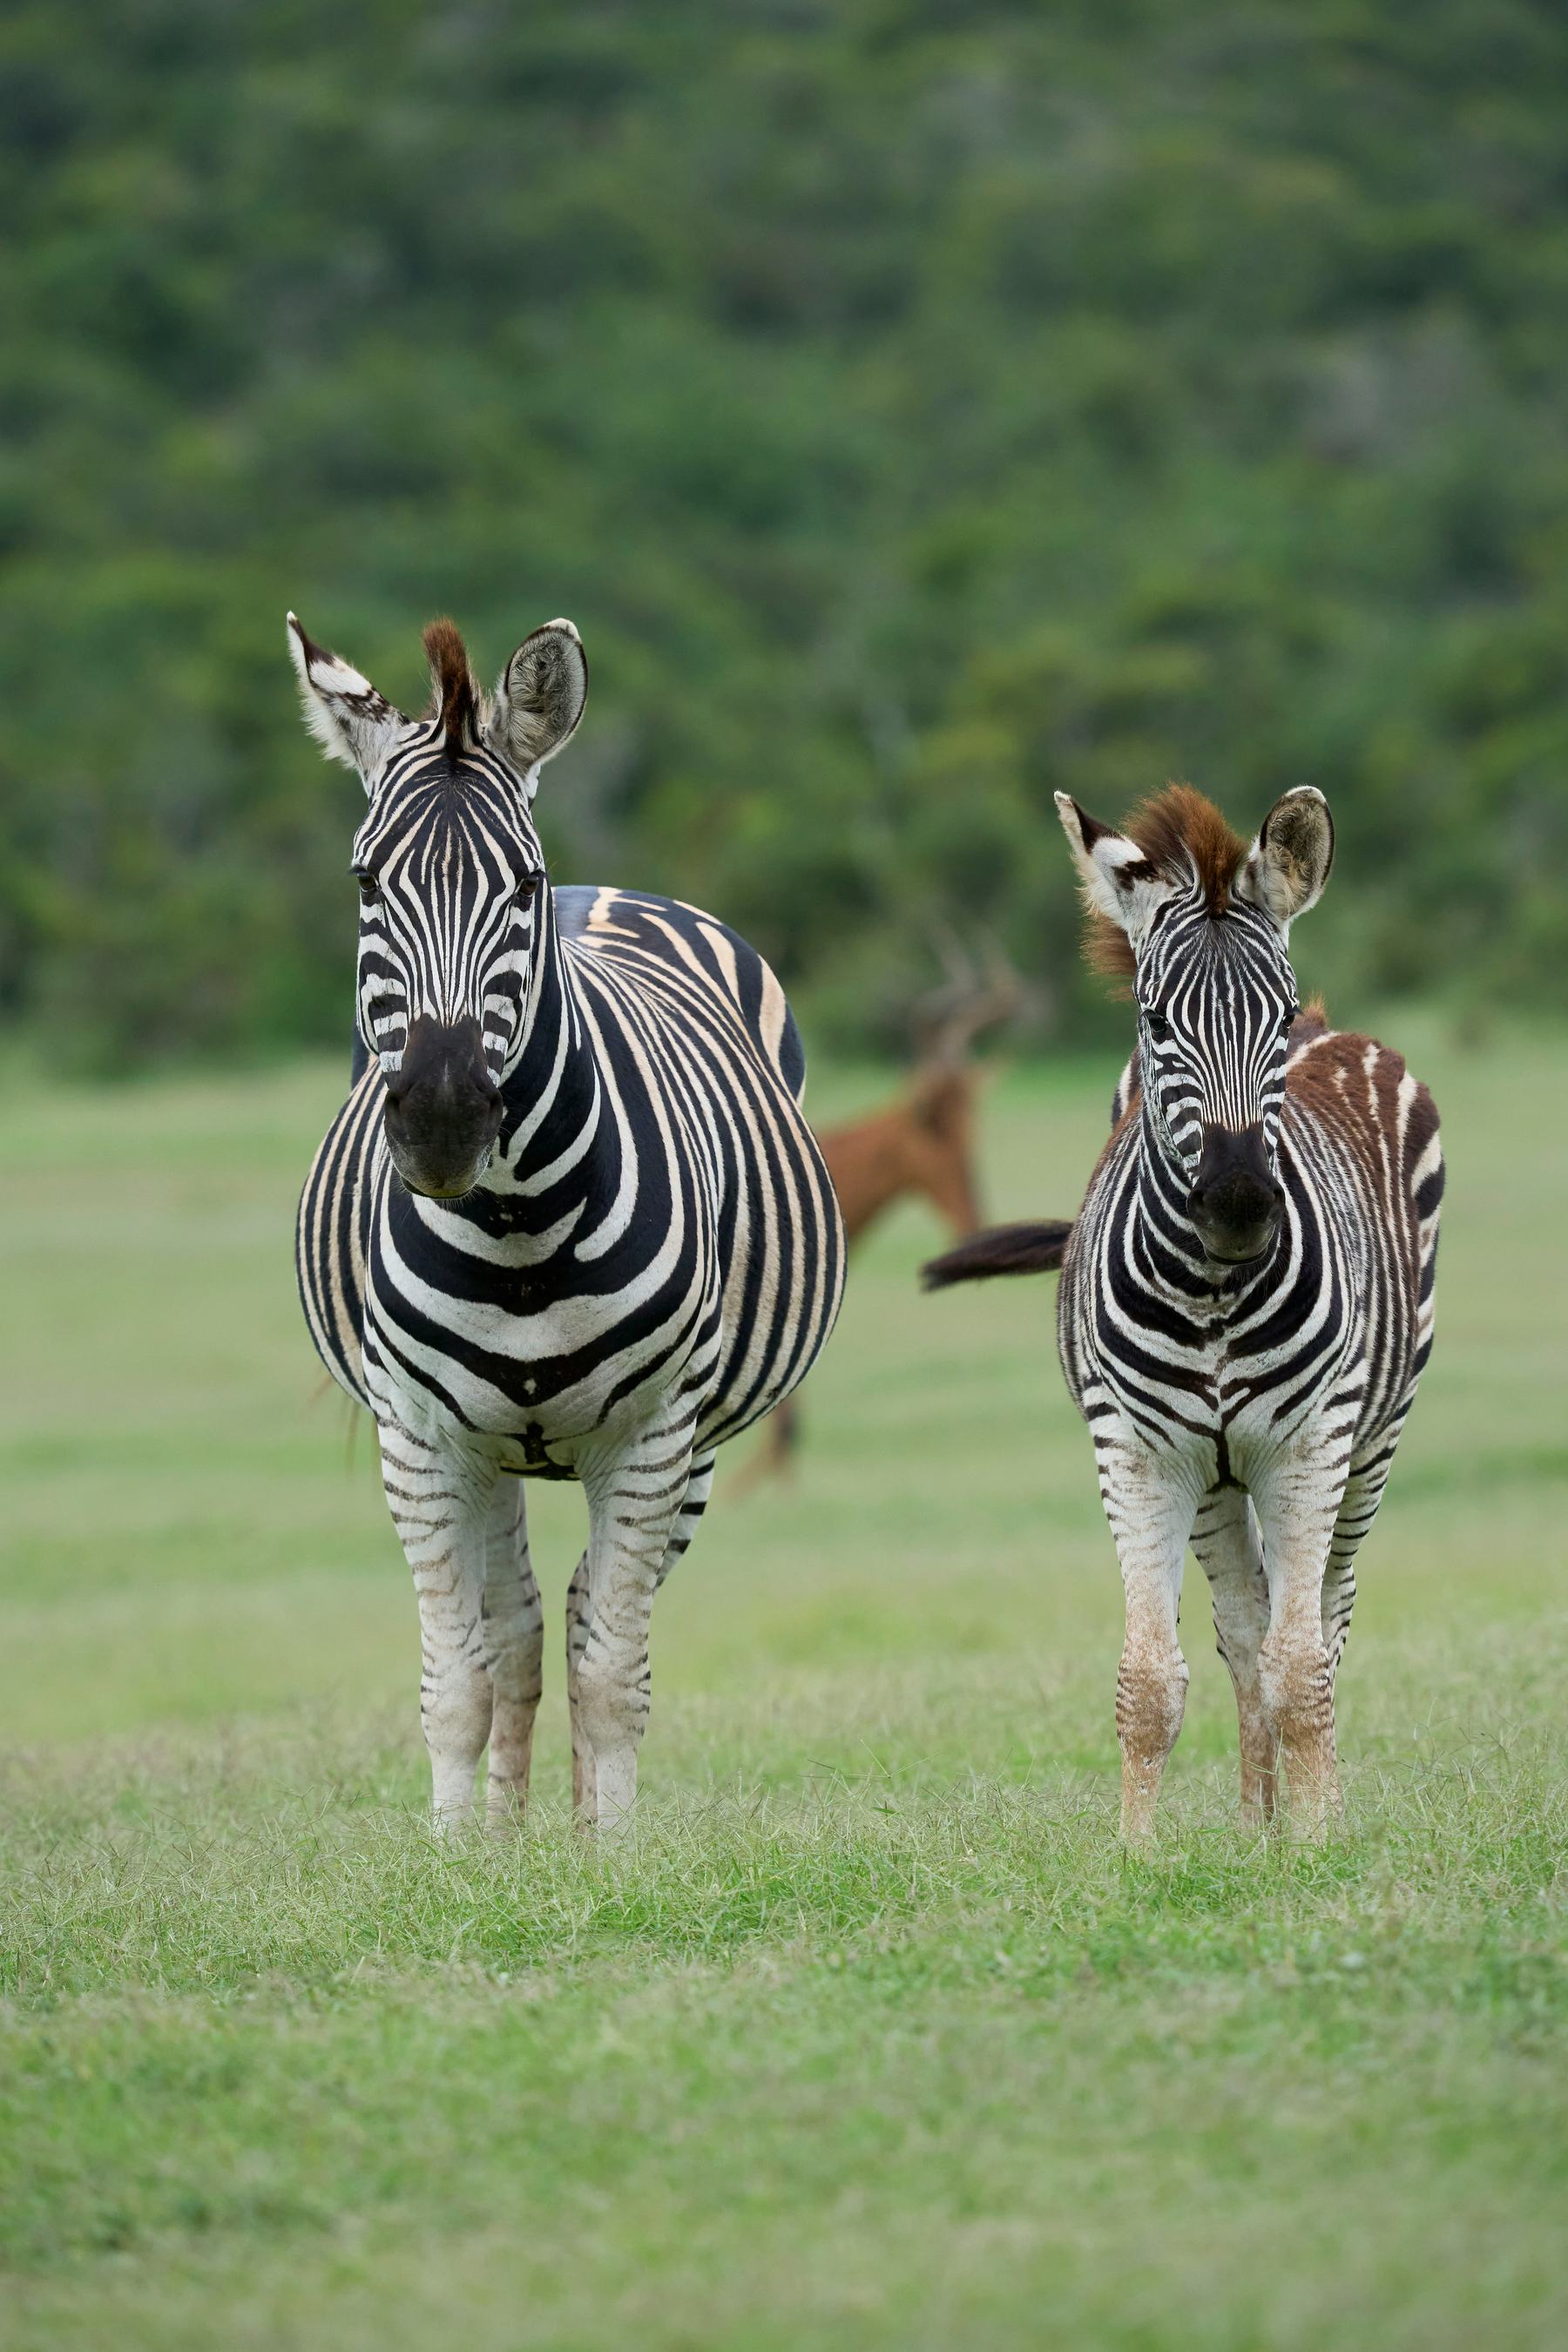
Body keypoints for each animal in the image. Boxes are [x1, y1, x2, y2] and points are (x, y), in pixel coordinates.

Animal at [290, 611, 845, 1830]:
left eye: (521, 883)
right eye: (365, 881)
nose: (444, 1118)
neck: (517, 1235)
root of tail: (607, 888)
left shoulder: (652, 1435)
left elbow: (610, 1674)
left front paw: (610, 1858)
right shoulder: (418, 1438)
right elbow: (459, 1676)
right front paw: (462, 1861)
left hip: (691, 1446)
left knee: (590, 1613)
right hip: (488, 1449)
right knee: (517, 1628)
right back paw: (506, 1835)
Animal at [925, 784, 1442, 1839]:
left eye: (1272, 1017)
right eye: (1156, 1019)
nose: (1239, 1202)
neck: (1213, 1291)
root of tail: (1338, 1026)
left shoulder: (1310, 1445)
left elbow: (1303, 1668)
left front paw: (1320, 1845)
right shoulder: (1138, 1452)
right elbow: (1152, 1678)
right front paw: (1140, 1853)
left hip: (1371, 1443)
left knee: (1326, 1618)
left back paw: (1307, 1817)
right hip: (1215, 1479)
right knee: (1244, 1626)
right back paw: (1253, 1827)